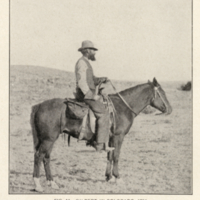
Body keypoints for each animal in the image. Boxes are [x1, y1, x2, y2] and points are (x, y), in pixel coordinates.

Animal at [30, 77, 171, 191]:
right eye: (162, 93)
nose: (170, 109)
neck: (123, 108)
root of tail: (38, 106)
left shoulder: (110, 139)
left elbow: (109, 156)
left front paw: (109, 177)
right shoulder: (118, 137)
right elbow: (116, 156)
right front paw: (118, 177)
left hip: (49, 139)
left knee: (46, 157)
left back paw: (52, 182)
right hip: (48, 139)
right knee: (39, 156)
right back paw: (38, 185)